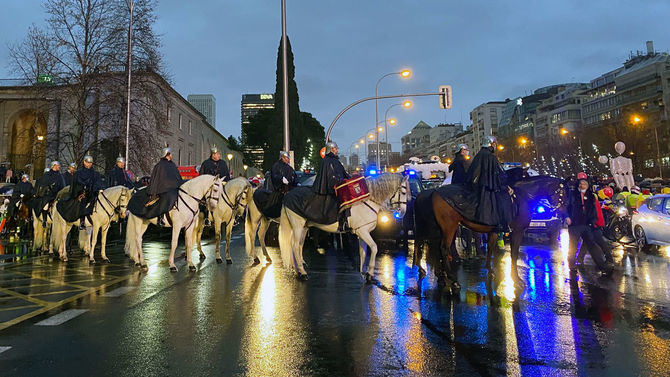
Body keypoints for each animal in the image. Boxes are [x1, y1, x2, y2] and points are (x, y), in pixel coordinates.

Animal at [278, 172, 410, 280]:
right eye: (403, 192)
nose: (403, 213)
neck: (367, 201)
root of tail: (287, 195)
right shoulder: (362, 232)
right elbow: (374, 247)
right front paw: (369, 274)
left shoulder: (363, 233)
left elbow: (363, 252)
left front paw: (363, 272)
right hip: (297, 226)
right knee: (295, 245)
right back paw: (302, 272)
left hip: (303, 227)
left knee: (297, 245)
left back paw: (297, 269)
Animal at [414, 175, 568, 296]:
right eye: (561, 191)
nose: (563, 213)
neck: (520, 197)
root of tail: (434, 192)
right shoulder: (517, 231)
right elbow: (514, 254)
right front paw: (516, 279)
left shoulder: (494, 231)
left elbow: (491, 249)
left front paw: (490, 270)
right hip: (449, 228)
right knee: (443, 249)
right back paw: (453, 280)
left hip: (438, 230)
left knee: (435, 248)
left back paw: (440, 277)